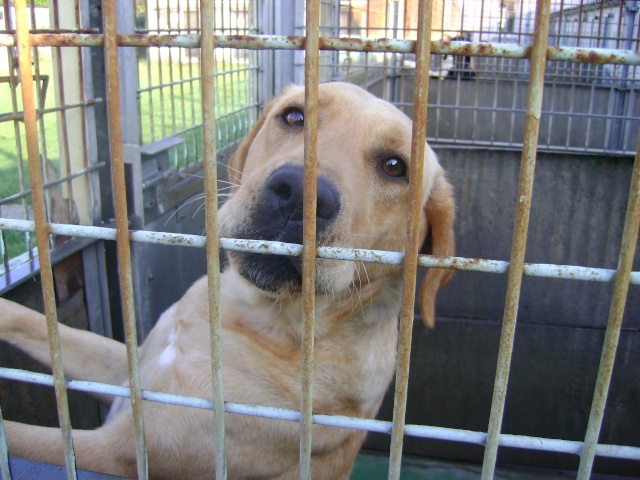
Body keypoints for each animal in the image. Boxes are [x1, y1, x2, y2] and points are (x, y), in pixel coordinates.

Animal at [0, 80, 456, 478]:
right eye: (294, 117)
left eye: (395, 166)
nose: (299, 196)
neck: (255, 315)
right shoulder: (130, 368)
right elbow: (42, 325)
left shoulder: (123, 451)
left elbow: (19, 437)